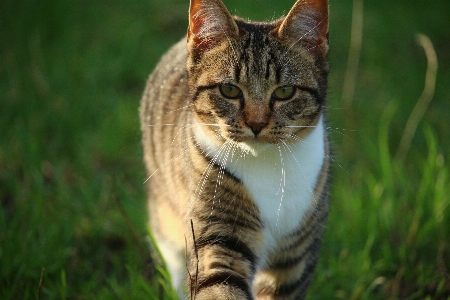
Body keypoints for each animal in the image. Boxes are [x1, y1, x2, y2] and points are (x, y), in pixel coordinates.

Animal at [141, 0, 330, 298]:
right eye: (229, 89)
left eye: (285, 91)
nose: (256, 123)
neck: (266, 165)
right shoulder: (217, 227)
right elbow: (217, 278)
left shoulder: (296, 254)